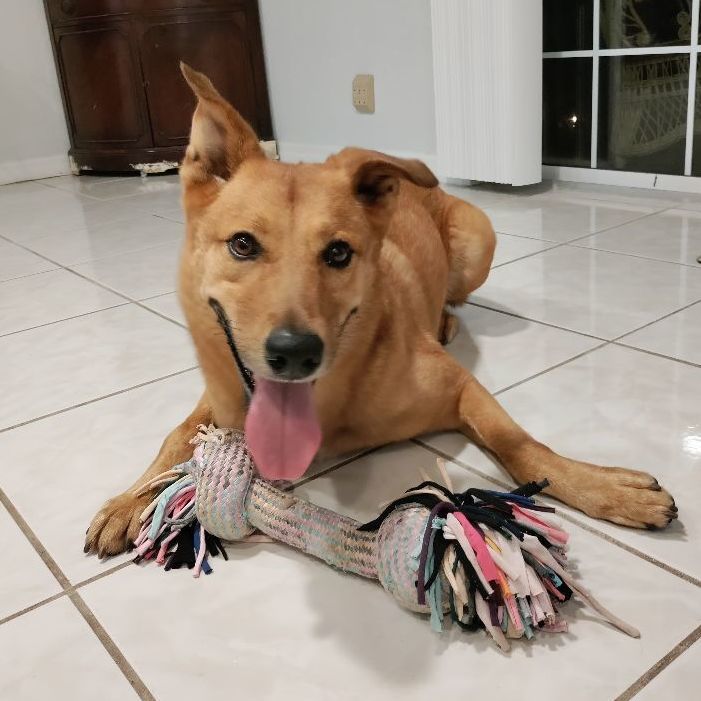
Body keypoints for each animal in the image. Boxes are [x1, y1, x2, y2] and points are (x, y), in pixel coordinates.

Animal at [85, 65, 676, 556]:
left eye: (338, 253)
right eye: (243, 245)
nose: (295, 354)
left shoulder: (460, 387)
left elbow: (520, 444)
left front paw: (602, 487)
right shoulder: (222, 394)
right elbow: (177, 434)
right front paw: (133, 495)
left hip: (478, 242)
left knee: (457, 299)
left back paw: (445, 319)